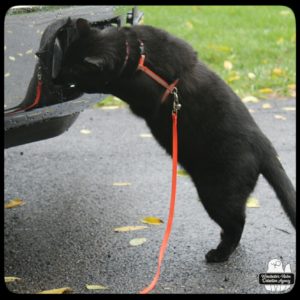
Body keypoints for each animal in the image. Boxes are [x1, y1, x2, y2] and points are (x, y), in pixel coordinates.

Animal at [54, 19, 296, 262]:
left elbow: (110, 84)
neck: (138, 54)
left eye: (72, 70)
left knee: (237, 223)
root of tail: (265, 146)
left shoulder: (140, 94)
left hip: (216, 193)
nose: (56, 77)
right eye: (64, 60)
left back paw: (219, 253)